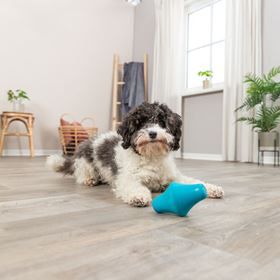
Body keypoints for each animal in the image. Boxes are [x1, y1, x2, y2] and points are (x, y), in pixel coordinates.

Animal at [47, 101, 224, 207]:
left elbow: (193, 181)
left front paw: (211, 188)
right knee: (81, 175)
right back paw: (89, 180)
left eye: (161, 122)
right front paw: (139, 197)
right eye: (140, 124)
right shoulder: (128, 178)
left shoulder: (173, 177)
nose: (152, 133)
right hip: (86, 163)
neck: (151, 156)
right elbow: (134, 187)